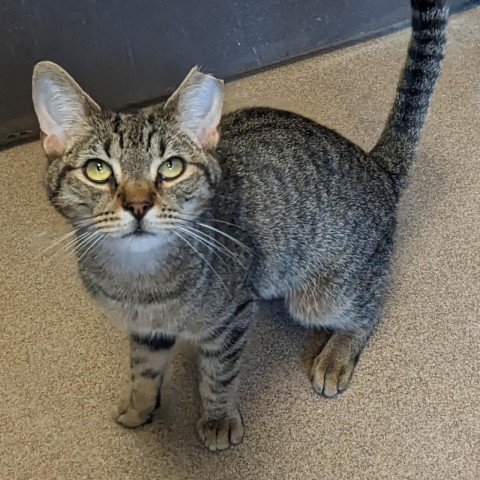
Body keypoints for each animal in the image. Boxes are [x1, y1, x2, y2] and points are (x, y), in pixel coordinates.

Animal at [32, 0, 446, 450]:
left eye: (172, 167)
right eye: (98, 170)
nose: (138, 204)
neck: (139, 279)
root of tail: (377, 167)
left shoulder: (231, 318)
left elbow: (218, 374)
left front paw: (217, 419)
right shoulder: (146, 330)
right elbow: (142, 370)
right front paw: (139, 408)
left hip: (323, 296)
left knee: (371, 304)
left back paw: (338, 353)